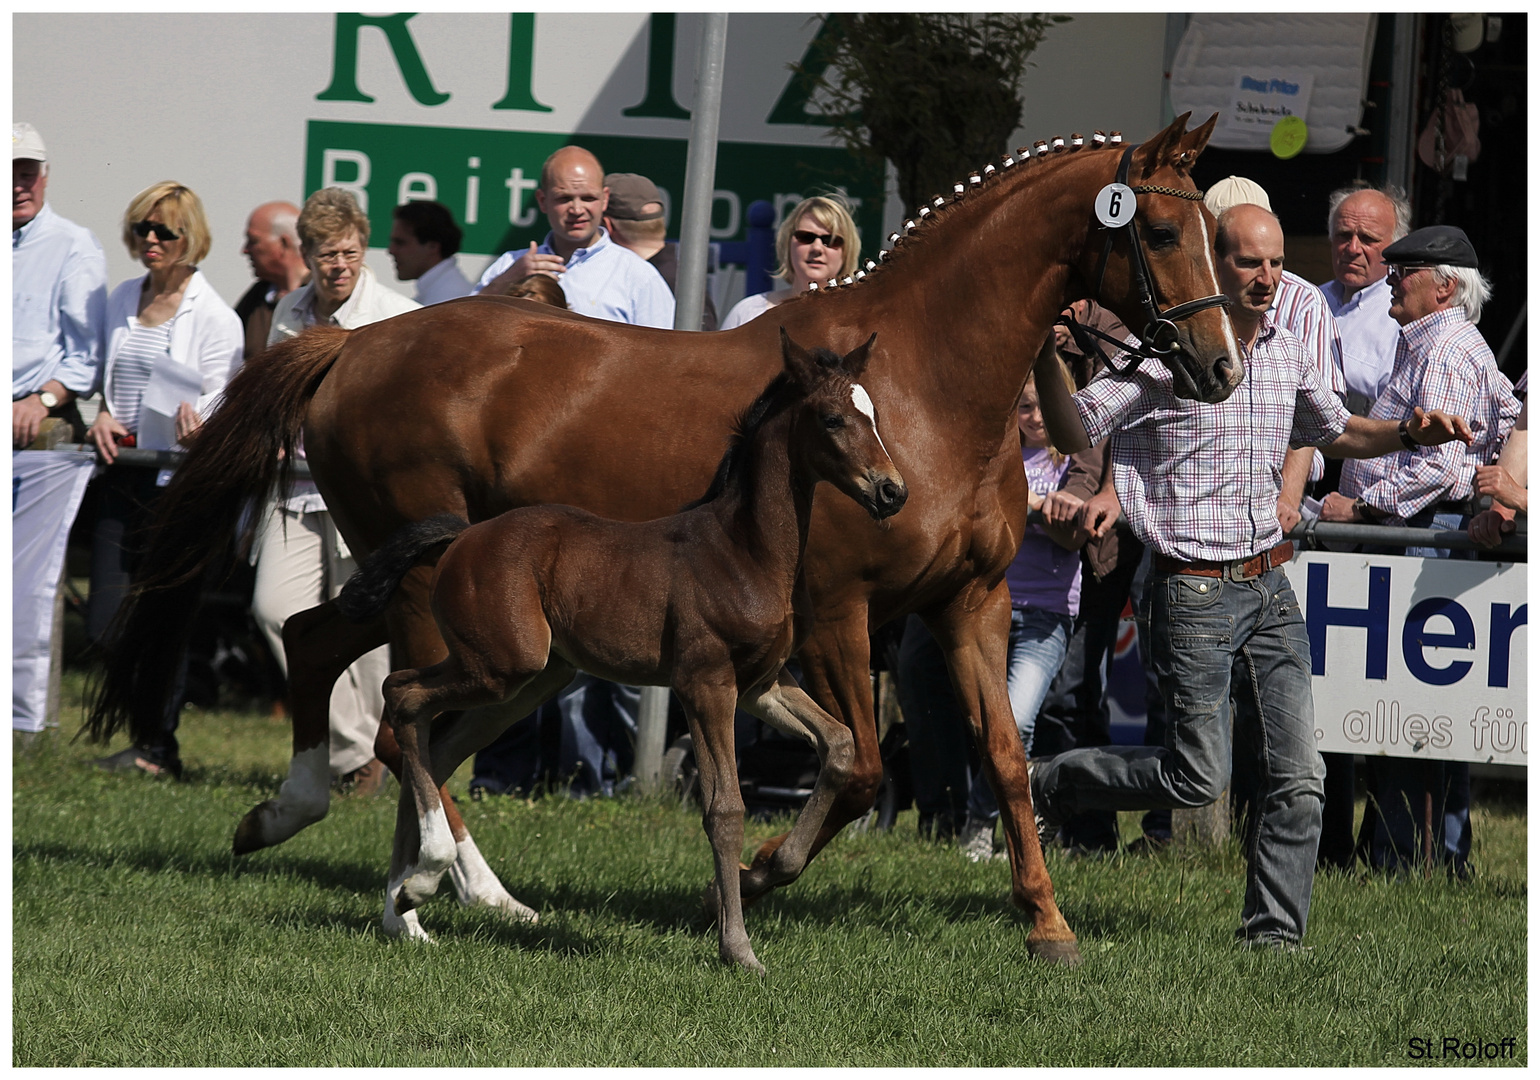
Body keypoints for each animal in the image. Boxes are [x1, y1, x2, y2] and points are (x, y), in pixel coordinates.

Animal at [340, 331, 899, 967]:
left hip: (526, 683)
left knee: (434, 747)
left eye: (874, 414)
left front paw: (767, 871)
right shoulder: (705, 683)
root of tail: (464, 534)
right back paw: (419, 882)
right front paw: (738, 948)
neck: (745, 552)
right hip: (501, 665)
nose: (891, 490)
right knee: (402, 695)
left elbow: (840, 745)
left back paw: (405, 907)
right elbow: (725, 807)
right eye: (833, 419)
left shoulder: (763, 685)